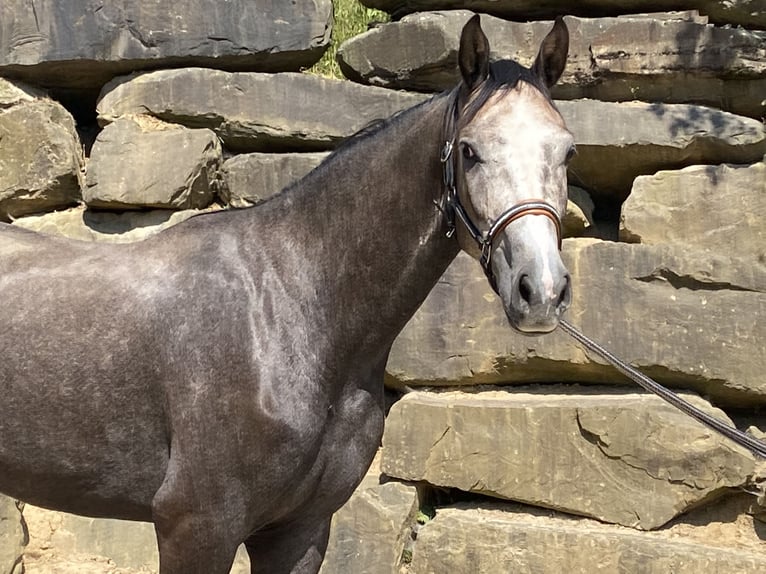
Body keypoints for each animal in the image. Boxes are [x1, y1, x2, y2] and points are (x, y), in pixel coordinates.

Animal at [0, 15, 576, 572]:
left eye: (567, 150)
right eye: (470, 151)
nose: (541, 290)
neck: (292, 309)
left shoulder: (301, 530)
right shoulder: (196, 527)